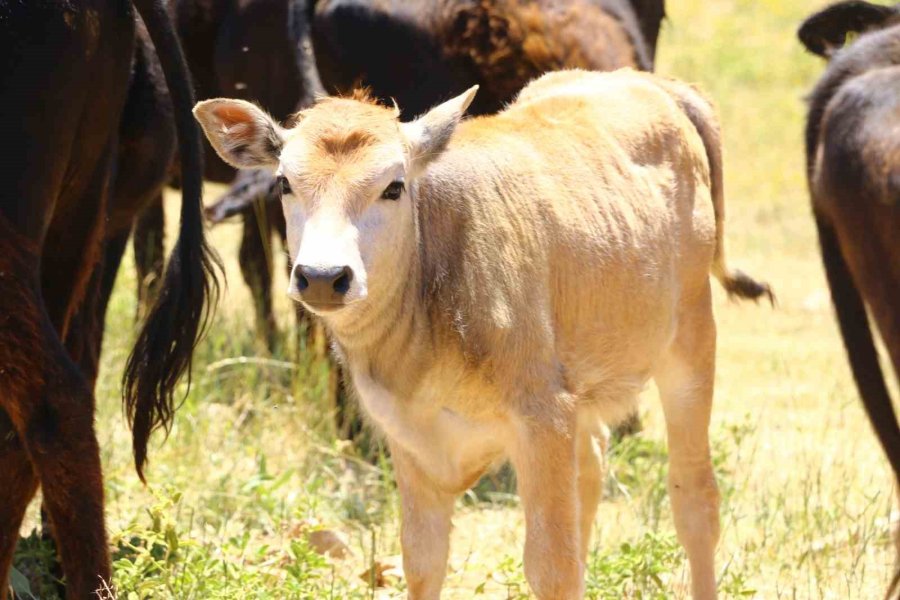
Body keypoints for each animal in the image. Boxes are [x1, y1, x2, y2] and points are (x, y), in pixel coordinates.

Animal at [193, 68, 768, 596]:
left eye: (394, 186)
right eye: (284, 183)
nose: (322, 276)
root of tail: (646, 81)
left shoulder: (542, 416)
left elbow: (550, 566)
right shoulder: (409, 438)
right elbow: (423, 561)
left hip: (690, 343)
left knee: (695, 502)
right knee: (592, 471)